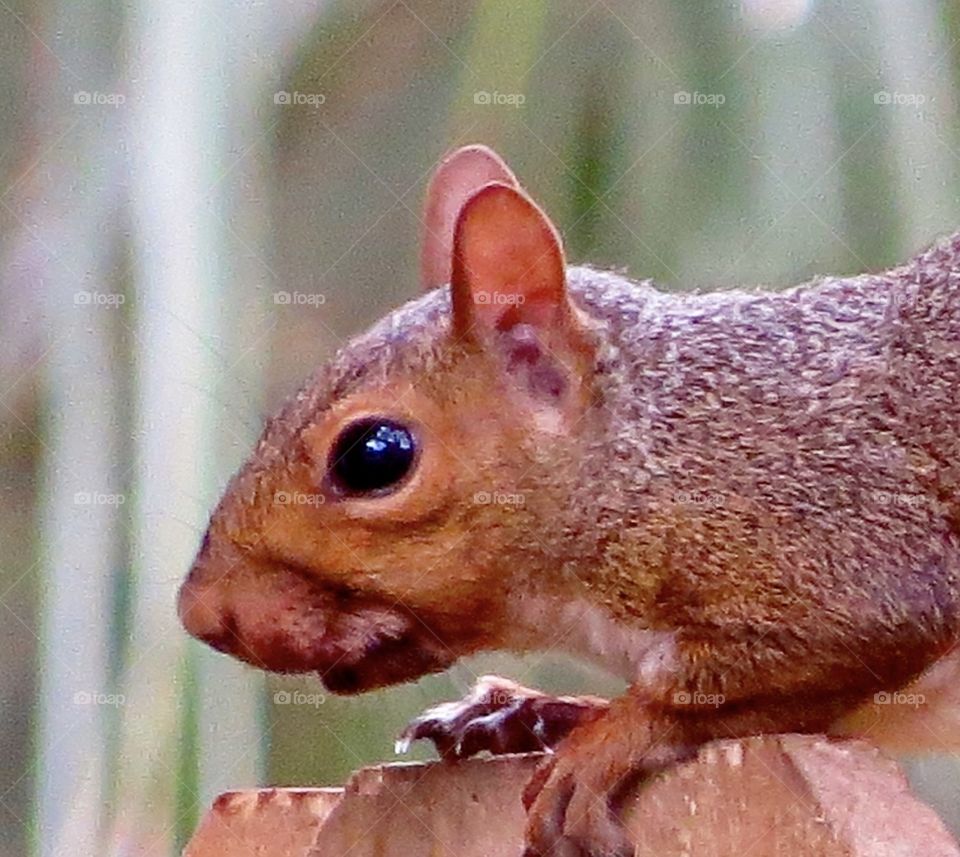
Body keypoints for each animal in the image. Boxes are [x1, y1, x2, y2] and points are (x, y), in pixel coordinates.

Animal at [179, 144, 960, 857]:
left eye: (373, 455)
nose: (200, 613)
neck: (647, 454)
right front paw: (532, 710)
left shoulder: (841, 550)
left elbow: (734, 684)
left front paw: (606, 738)